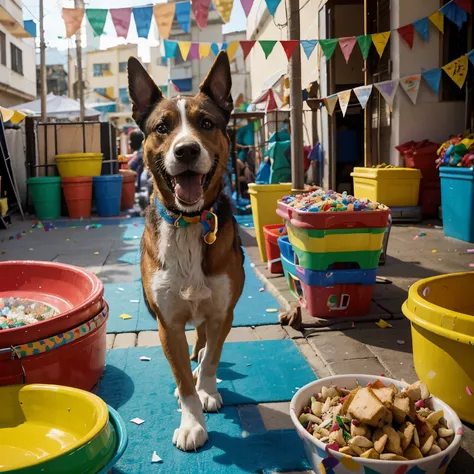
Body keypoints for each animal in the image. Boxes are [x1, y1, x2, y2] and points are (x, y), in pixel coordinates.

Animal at [126, 52, 244, 452]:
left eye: (206, 123)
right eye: (162, 127)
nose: (187, 150)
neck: (189, 222)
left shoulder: (222, 312)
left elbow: (211, 359)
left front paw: (206, 390)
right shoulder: (168, 325)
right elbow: (181, 378)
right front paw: (192, 422)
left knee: (206, 344)